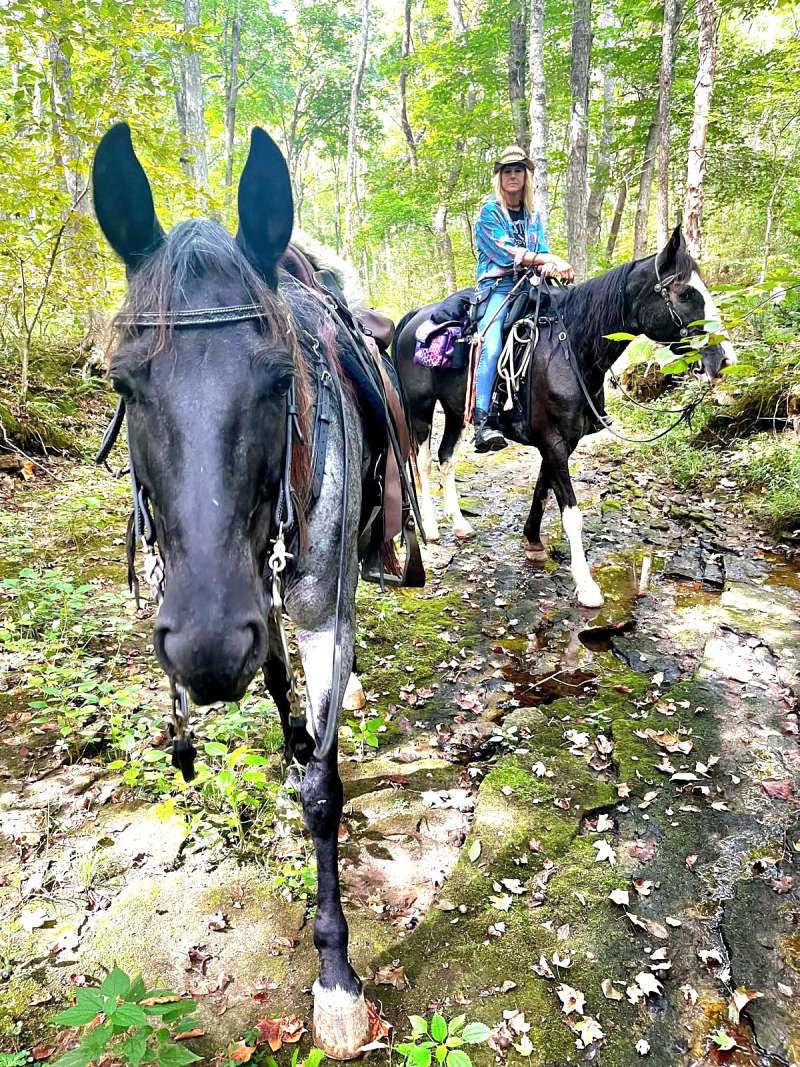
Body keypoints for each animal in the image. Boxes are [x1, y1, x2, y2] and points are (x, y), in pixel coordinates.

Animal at [92, 122, 392, 1058]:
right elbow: (291, 713)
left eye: (277, 378)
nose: (207, 646)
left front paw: (336, 977)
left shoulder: (322, 614)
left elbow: (322, 789)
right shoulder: (263, 616)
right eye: (124, 382)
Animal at [393, 227, 737, 607]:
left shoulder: (560, 442)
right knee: (422, 462)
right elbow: (571, 514)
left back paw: (459, 524)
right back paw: (432, 529)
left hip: (455, 410)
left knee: (446, 458)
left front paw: (532, 541)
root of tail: (414, 317)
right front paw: (586, 586)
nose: (724, 359)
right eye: (684, 292)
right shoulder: (553, 441)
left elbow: (542, 492)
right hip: (420, 409)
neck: (571, 348)